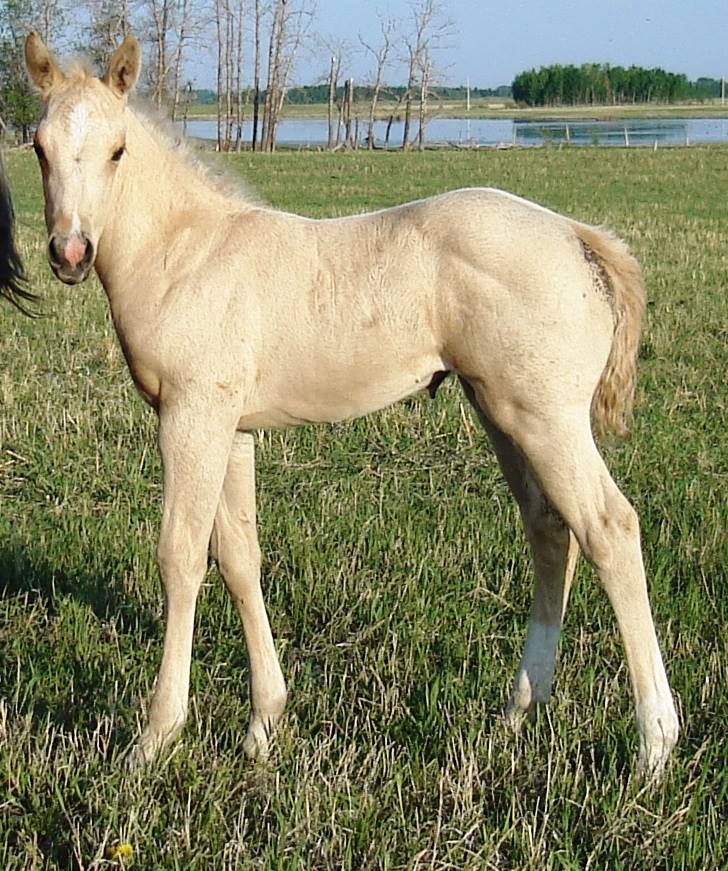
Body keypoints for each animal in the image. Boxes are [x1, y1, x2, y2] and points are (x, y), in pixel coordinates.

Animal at [25, 31, 679, 778]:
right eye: (38, 147)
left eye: (117, 150)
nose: (71, 252)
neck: (185, 252)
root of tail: (576, 236)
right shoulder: (232, 427)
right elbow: (240, 557)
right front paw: (264, 723)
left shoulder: (191, 416)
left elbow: (181, 556)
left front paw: (155, 737)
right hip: (503, 414)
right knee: (551, 530)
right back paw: (517, 711)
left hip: (548, 419)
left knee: (610, 530)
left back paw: (654, 743)